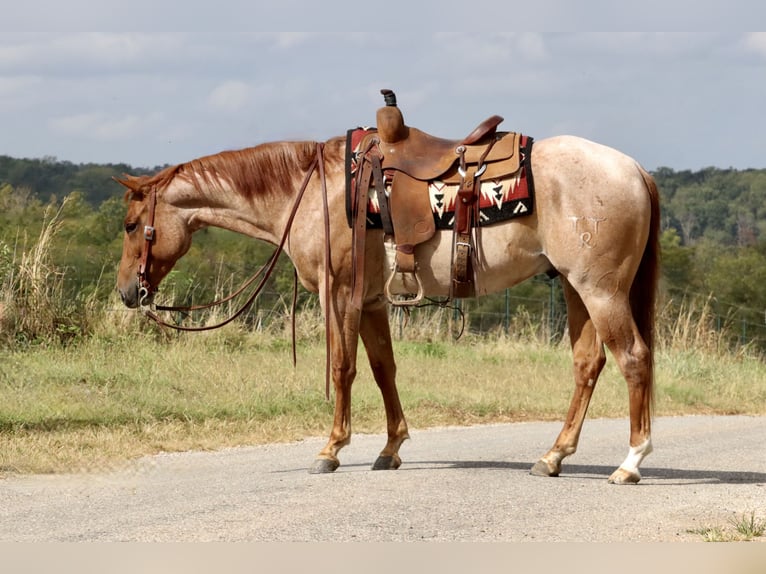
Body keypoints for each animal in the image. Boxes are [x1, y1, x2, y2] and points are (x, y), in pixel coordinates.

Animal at [115, 104, 660, 486]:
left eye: (130, 225)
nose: (126, 292)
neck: (312, 192)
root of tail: (635, 168)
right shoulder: (374, 300)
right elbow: (383, 369)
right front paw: (391, 448)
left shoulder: (339, 295)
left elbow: (343, 367)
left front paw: (330, 450)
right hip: (574, 287)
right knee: (588, 364)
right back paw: (552, 456)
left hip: (600, 290)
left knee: (633, 358)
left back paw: (630, 463)